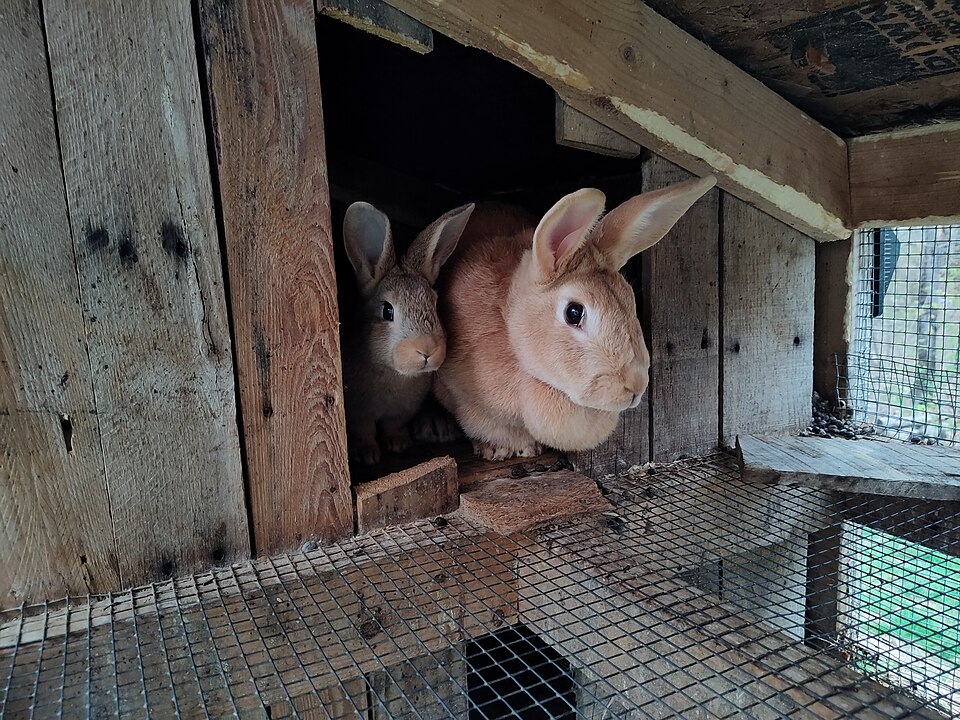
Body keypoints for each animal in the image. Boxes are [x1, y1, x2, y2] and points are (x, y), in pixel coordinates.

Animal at [341, 200, 475, 464]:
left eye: (434, 303)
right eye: (387, 310)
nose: (427, 350)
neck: (393, 373)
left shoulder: (400, 412)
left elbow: (393, 425)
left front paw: (399, 443)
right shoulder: (358, 413)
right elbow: (364, 429)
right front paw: (367, 454)